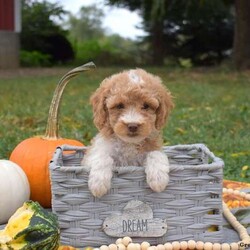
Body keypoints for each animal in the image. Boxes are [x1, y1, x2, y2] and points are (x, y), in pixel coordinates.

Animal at [82, 68, 174, 197]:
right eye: (120, 105)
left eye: (146, 106)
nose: (133, 125)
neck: (129, 143)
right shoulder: (95, 153)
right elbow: (102, 156)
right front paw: (98, 184)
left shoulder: (154, 148)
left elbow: (156, 154)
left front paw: (158, 179)